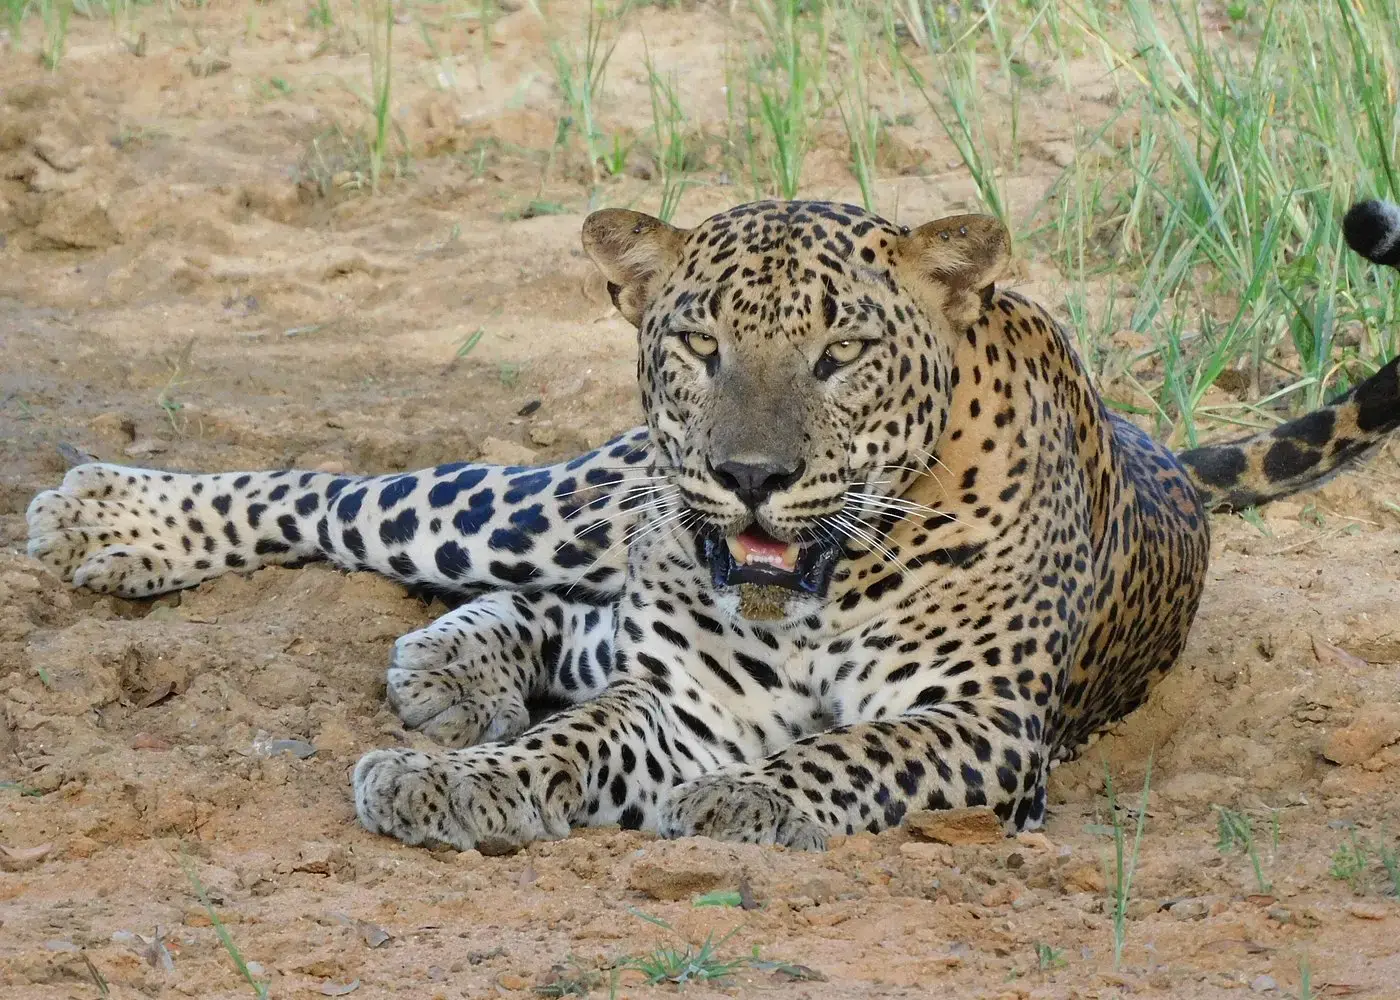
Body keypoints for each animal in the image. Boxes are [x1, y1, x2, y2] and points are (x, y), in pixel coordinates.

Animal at [25, 197, 1400, 853]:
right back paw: (109, 513)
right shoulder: (684, 702)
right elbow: (569, 737)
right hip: (571, 501)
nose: (746, 475)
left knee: (569, 618)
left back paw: (450, 666)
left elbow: (849, 750)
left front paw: (741, 802)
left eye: (840, 354)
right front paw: (456, 785)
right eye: (700, 344)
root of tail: (1153, 434)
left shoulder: (983, 726)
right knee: (359, 502)